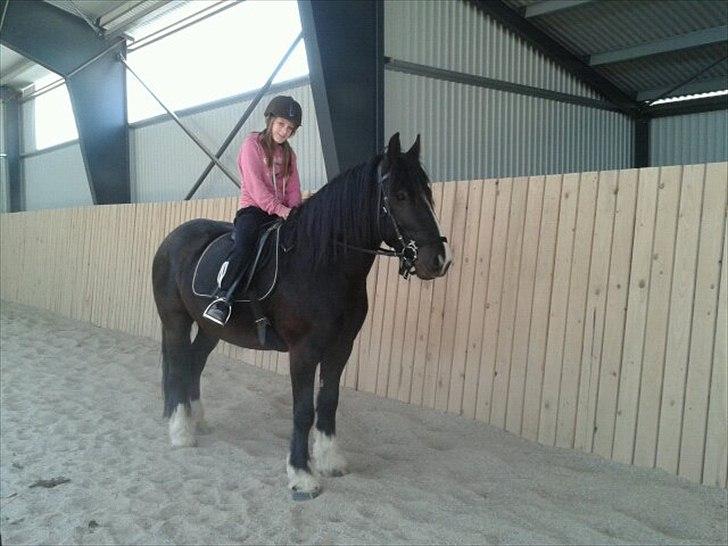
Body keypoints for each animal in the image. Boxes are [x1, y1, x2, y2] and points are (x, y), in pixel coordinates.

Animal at [151, 133, 452, 500]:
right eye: (399, 195)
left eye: (428, 192)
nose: (438, 260)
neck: (321, 264)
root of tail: (172, 239)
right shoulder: (303, 351)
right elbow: (303, 410)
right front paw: (301, 475)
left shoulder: (341, 347)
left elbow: (328, 401)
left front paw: (330, 461)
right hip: (175, 321)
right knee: (179, 366)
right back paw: (181, 432)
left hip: (211, 328)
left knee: (194, 362)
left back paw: (197, 420)